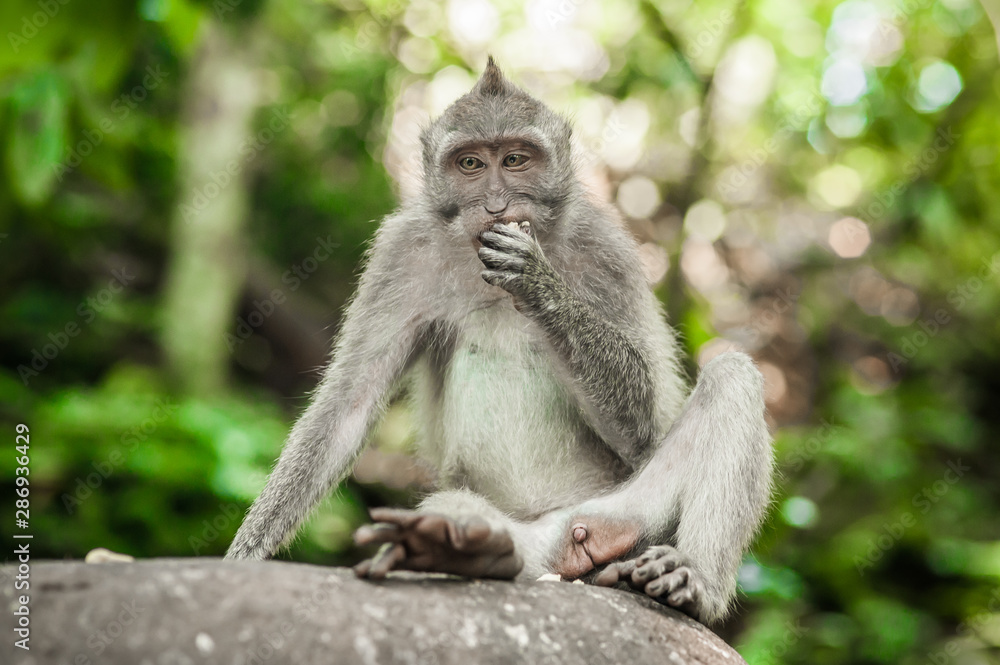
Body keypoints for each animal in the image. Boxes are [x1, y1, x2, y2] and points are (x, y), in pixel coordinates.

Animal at [229, 57, 772, 624]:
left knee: (731, 379)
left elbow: (643, 428)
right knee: (453, 510)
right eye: (470, 163)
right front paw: (245, 555)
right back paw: (461, 549)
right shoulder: (400, 254)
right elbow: (349, 405)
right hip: (529, 550)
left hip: (631, 514)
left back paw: (692, 581)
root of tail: (564, 543)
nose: (495, 205)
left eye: (515, 160)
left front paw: (537, 281)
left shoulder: (606, 250)